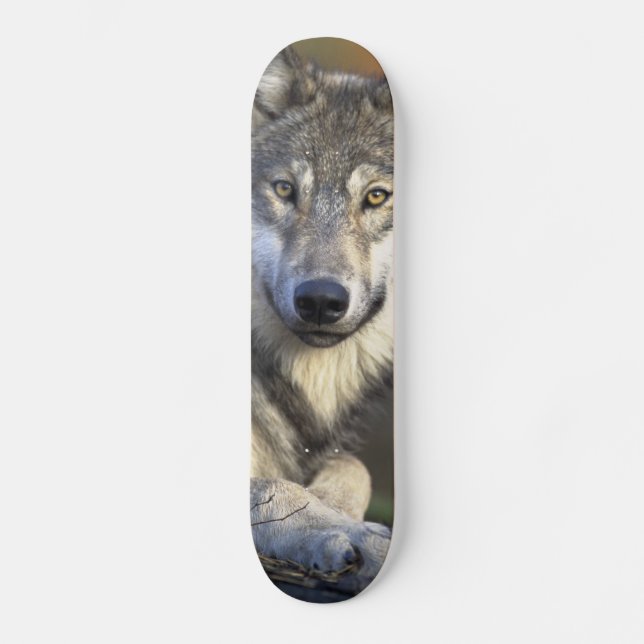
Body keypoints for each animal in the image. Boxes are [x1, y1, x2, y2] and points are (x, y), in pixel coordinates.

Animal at [251, 44, 394, 584]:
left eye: (376, 196)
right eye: (285, 190)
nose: (319, 301)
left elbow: (356, 467)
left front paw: (334, 508)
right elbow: (273, 486)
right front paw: (340, 532)